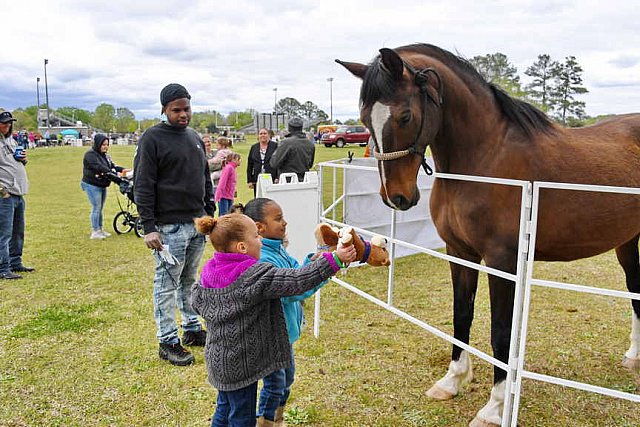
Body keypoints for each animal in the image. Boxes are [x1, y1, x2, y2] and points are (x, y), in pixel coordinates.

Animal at [336, 44, 640, 427]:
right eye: (364, 119)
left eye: (405, 116)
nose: (397, 197)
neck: (484, 159)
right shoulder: (459, 252)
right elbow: (461, 316)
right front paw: (452, 381)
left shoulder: (502, 262)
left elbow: (501, 332)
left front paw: (494, 407)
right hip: (627, 241)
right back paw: (633, 356)